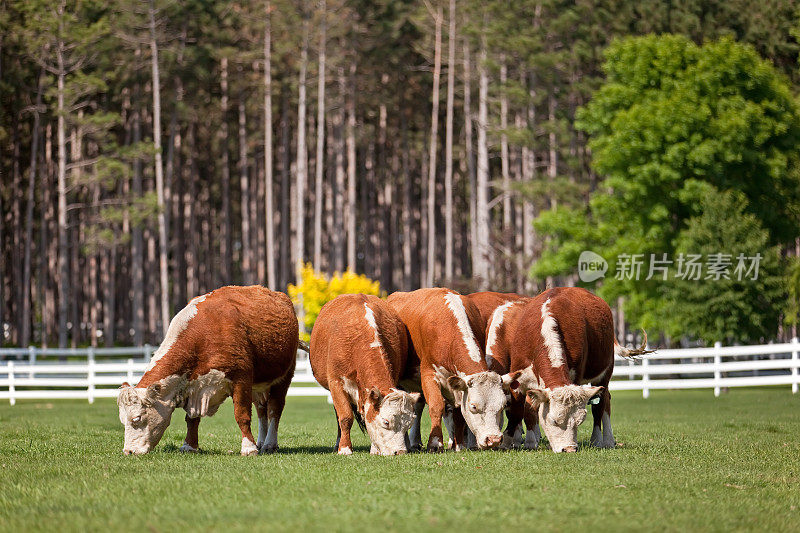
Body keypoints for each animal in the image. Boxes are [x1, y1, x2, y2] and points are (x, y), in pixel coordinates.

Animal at [115, 284, 296, 456]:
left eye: (137, 418)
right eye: (122, 420)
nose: (128, 451)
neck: (202, 336)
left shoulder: (241, 379)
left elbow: (241, 415)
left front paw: (248, 448)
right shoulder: (194, 387)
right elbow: (192, 419)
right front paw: (189, 446)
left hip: (283, 377)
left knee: (274, 409)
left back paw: (269, 444)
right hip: (258, 386)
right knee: (261, 410)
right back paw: (260, 442)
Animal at [310, 294, 422, 456]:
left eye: (409, 424)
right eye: (386, 422)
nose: (400, 451)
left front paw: (374, 449)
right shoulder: (336, 383)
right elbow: (345, 417)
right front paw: (345, 448)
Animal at [386, 288, 520, 450]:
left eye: (503, 405)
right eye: (473, 407)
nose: (493, 439)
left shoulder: (458, 386)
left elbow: (458, 414)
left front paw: (459, 445)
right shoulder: (429, 375)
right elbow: (436, 406)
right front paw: (435, 442)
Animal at [510, 286, 652, 454]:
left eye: (579, 421)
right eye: (554, 420)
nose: (569, 449)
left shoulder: (576, 376)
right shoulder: (519, 379)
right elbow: (523, 410)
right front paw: (523, 442)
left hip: (605, 373)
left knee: (602, 405)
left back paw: (602, 440)